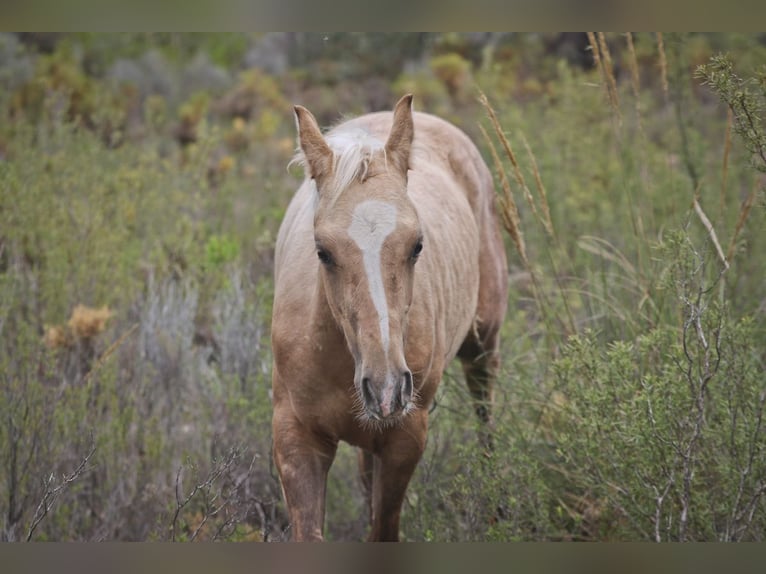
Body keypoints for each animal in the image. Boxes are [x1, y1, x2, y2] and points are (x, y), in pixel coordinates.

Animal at [272, 92, 510, 544]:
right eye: (322, 252)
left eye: (417, 245)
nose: (386, 389)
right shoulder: (297, 439)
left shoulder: (404, 440)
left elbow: (384, 529)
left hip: (483, 345)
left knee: (486, 415)